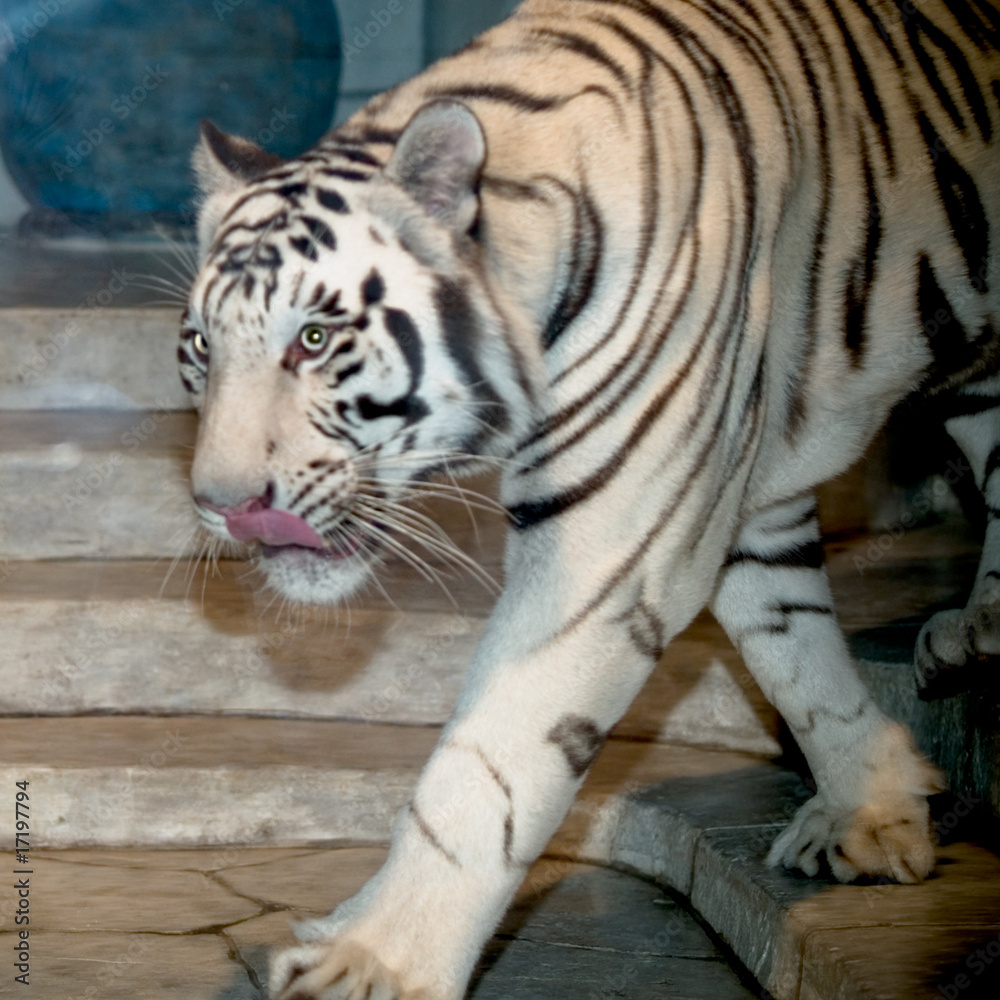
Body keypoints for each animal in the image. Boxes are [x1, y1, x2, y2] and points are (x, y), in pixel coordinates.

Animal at [178, 0, 999, 996]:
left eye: (315, 338)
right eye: (201, 346)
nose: (220, 501)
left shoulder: (613, 543)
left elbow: (487, 766)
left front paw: (372, 961)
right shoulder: (735, 488)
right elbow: (790, 646)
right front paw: (870, 811)